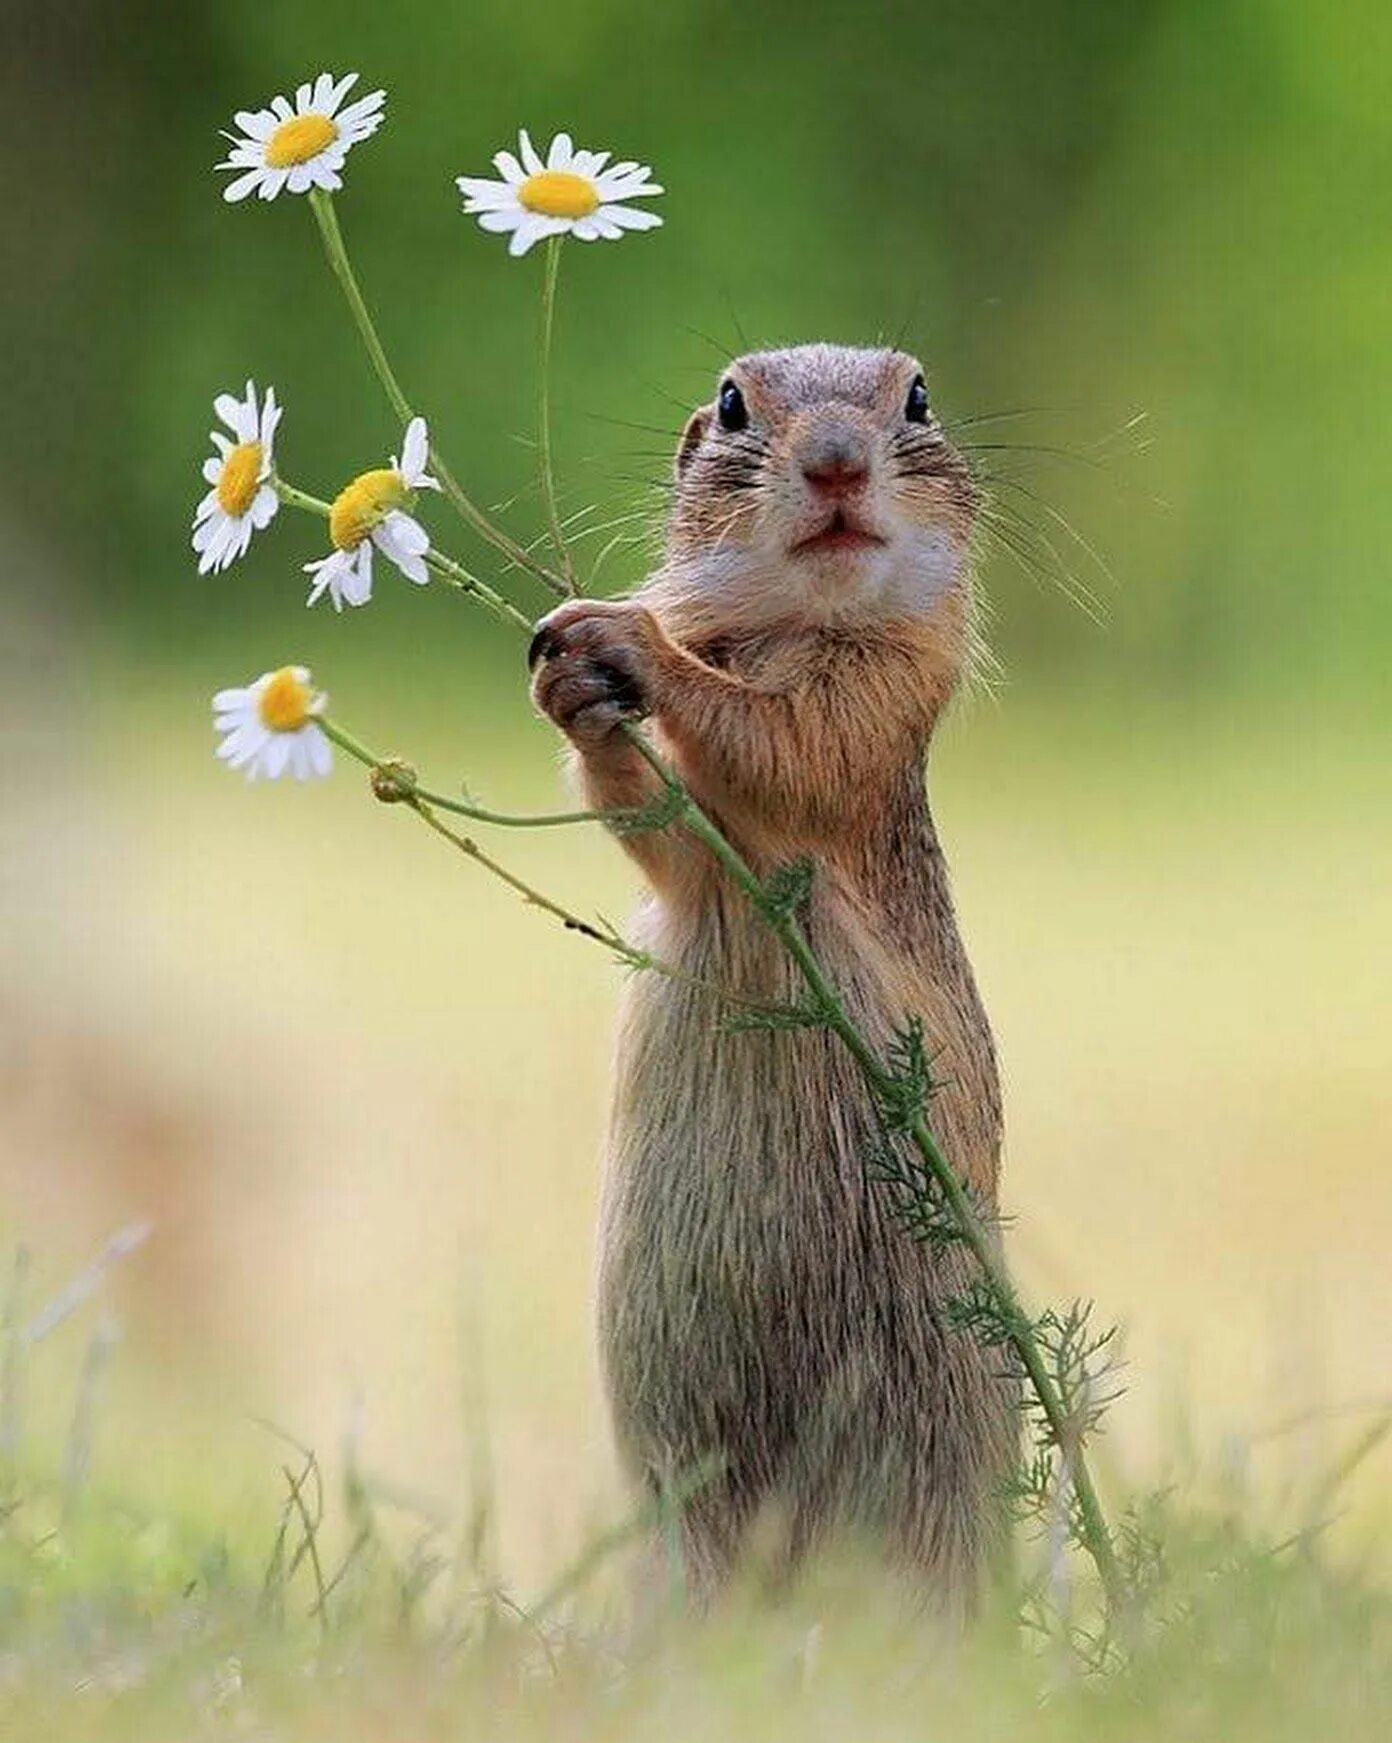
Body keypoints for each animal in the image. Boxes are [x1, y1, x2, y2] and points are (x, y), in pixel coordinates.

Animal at [529, 346, 1017, 1610]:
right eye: (734, 402)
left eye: (919, 397)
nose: (838, 462)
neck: (802, 624)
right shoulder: (701, 863)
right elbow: (659, 823)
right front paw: (574, 686)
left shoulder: (876, 703)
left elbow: (786, 742)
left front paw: (630, 641)